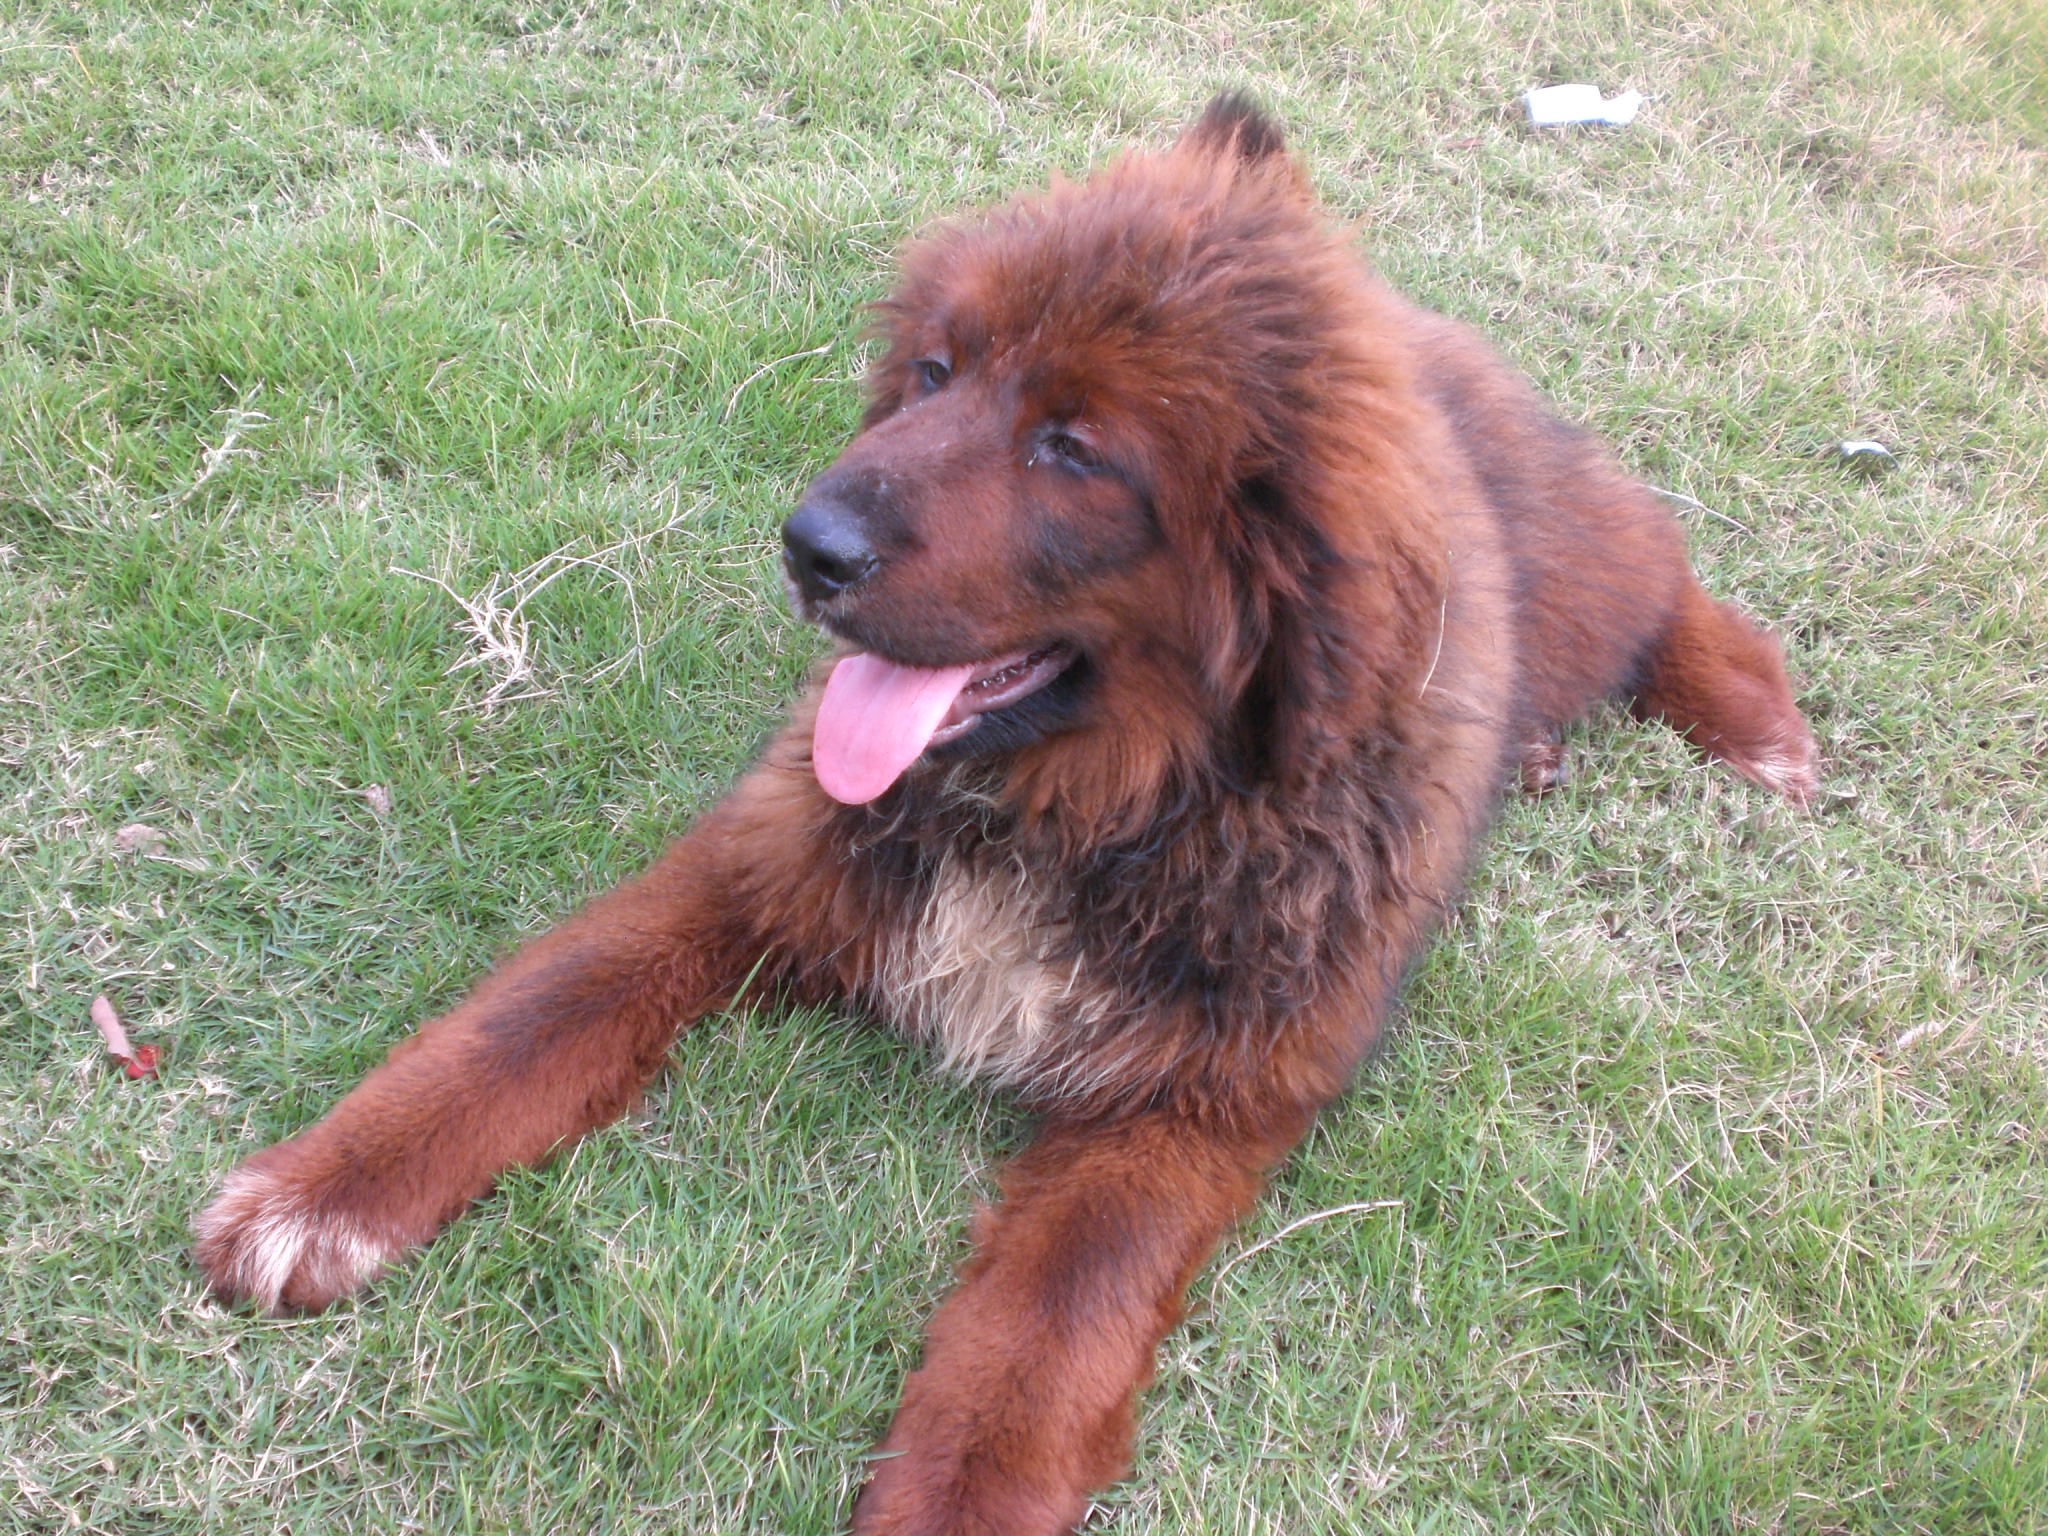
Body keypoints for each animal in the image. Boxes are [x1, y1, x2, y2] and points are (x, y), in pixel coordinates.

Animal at [194, 95, 1819, 1534]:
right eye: (932, 373)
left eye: (1074, 447)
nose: (806, 544)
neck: (1080, 810)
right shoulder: (752, 871)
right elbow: (531, 1012)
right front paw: (328, 1187)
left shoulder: (1195, 1092)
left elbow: (1052, 1314)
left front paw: (963, 1492)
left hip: (1581, 568)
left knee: (1667, 566)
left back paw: (1755, 722)